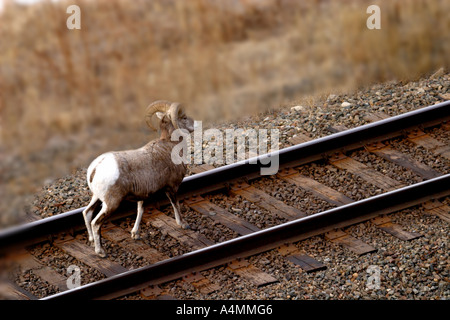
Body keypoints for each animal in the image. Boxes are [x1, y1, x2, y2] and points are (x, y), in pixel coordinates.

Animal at [82, 101, 193, 256]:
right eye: (183, 117)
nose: (194, 124)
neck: (171, 147)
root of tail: (96, 168)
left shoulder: (143, 195)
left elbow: (140, 211)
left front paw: (135, 234)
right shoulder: (171, 188)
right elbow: (175, 205)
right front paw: (183, 224)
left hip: (97, 197)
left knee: (87, 213)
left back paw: (92, 241)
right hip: (111, 204)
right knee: (96, 223)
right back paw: (101, 252)